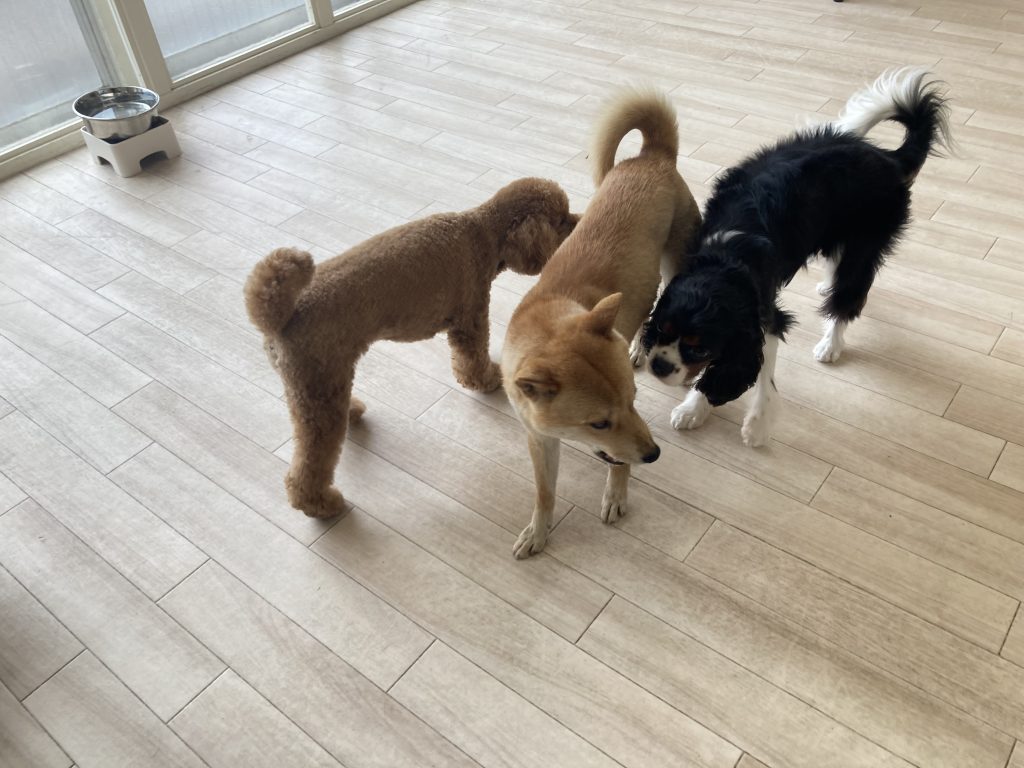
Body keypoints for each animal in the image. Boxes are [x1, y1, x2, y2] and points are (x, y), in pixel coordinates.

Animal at [245, 178, 577, 518]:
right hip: (319, 391)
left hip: (325, 385)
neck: (483, 231)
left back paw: (352, 411)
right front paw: (486, 380)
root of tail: (279, 319)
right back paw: (321, 504)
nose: (579, 221)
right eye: (561, 219)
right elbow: (473, 359)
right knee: (307, 468)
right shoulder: (470, 317)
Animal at [502, 88, 702, 559]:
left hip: (675, 265)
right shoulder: (539, 438)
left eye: (633, 401)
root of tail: (651, 157)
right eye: (597, 423)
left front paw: (616, 493)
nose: (654, 454)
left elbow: (619, 465)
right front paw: (538, 531)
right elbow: (544, 492)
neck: (548, 318)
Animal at [640, 67, 952, 447]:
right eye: (661, 330)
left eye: (698, 349)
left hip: (865, 243)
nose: (659, 366)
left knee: (848, 296)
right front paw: (693, 409)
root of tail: (888, 158)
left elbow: (760, 375)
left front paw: (755, 425)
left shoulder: (766, 318)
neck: (724, 258)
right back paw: (826, 288)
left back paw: (830, 343)